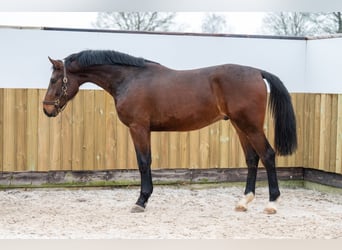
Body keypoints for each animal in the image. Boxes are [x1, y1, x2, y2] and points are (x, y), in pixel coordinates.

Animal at [43, 49, 296, 214]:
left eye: (54, 79)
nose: (47, 109)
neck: (129, 78)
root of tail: (257, 72)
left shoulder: (139, 128)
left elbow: (143, 162)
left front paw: (141, 200)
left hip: (250, 126)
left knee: (268, 155)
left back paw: (272, 203)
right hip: (239, 126)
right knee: (252, 159)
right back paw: (244, 202)